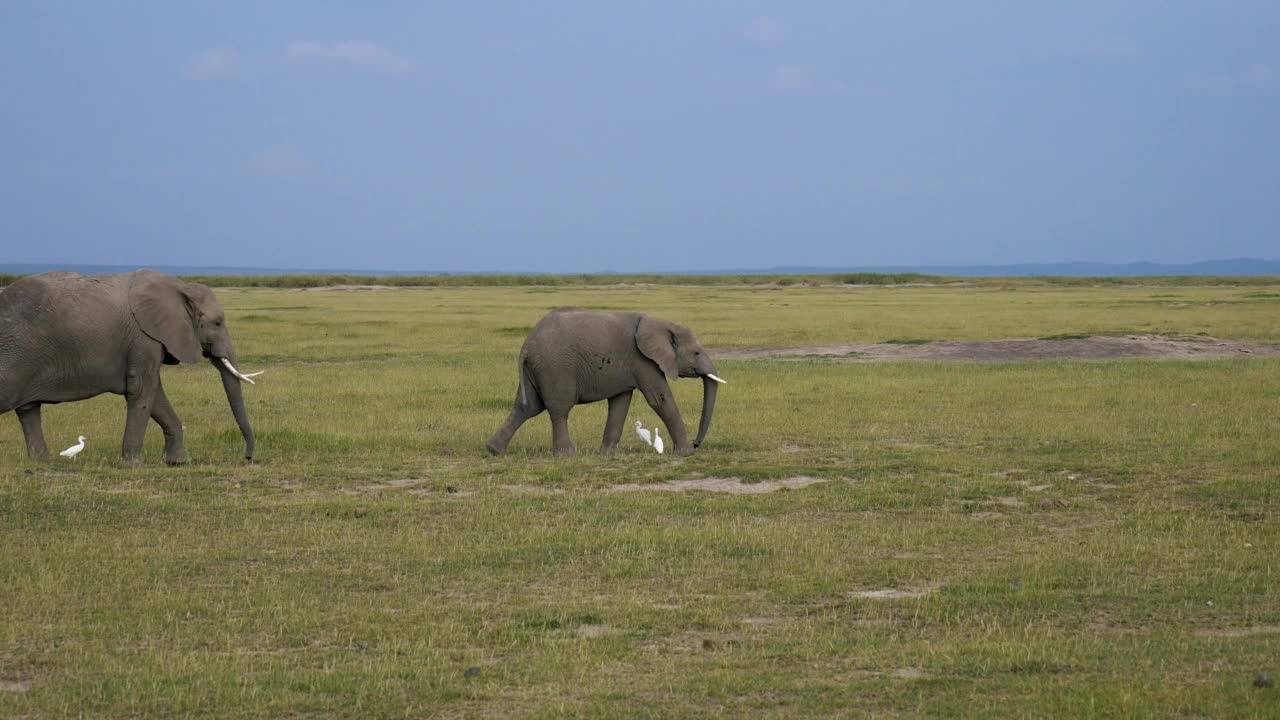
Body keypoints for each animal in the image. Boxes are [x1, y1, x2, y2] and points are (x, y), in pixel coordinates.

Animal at [0, 267, 259, 458]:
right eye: (217, 323)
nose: (247, 457)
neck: (181, 287)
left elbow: (154, 393)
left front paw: (177, 462)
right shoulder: (143, 337)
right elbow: (142, 389)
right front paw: (132, 462)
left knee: (28, 410)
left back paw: (41, 463)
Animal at [483, 307, 727, 453]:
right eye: (696, 352)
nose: (697, 443)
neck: (660, 322)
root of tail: (526, 346)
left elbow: (620, 403)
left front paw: (607, 454)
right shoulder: (643, 360)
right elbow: (660, 399)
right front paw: (685, 453)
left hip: (536, 370)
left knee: (527, 407)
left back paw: (494, 451)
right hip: (555, 368)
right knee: (559, 410)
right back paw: (567, 455)